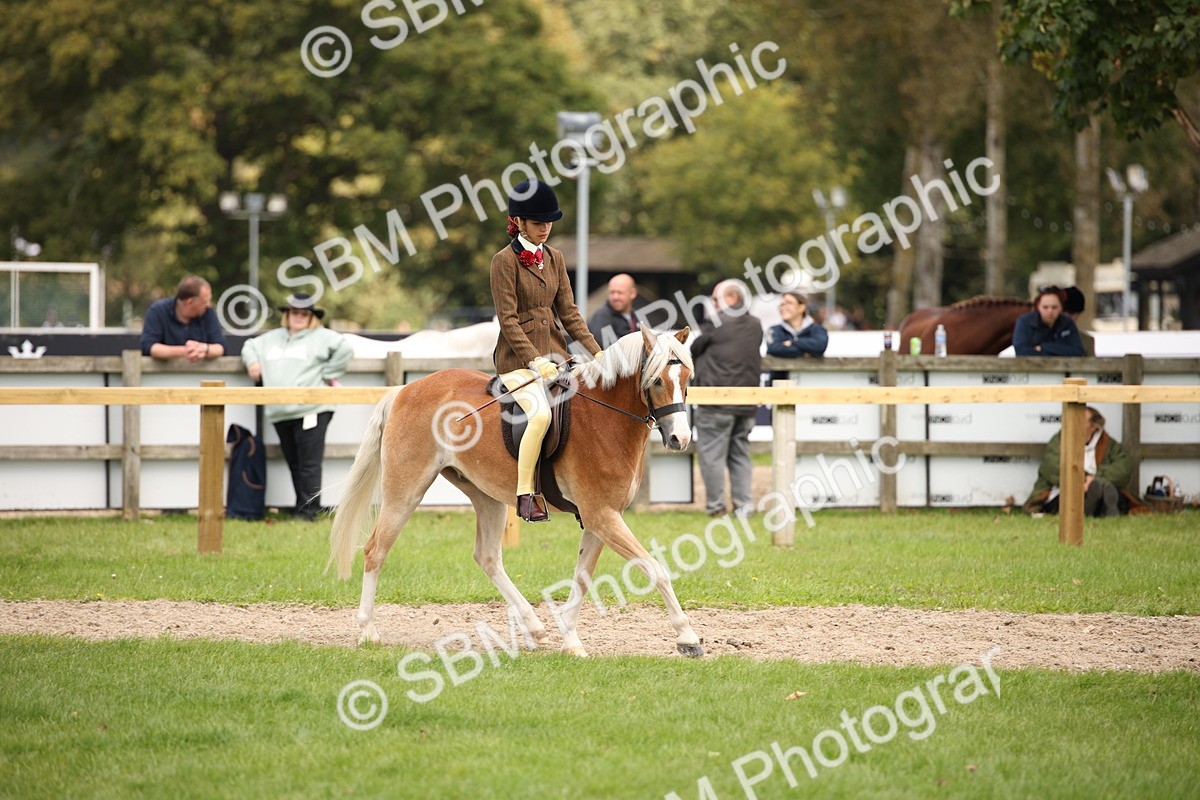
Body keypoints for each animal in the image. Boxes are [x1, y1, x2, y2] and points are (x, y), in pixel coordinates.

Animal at [329, 327, 705, 657]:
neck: (604, 416)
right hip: (405, 491)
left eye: (687, 380)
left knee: (487, 557)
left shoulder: (602, 518)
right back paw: (367, 631)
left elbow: (582, 578)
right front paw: (687, 638)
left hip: (486, 496)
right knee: (375, 551)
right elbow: (656, 569)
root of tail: (405, 390)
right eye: (656, 381)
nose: (680, 439)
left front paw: (570, 640)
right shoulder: (602, 516)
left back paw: (534, 627)